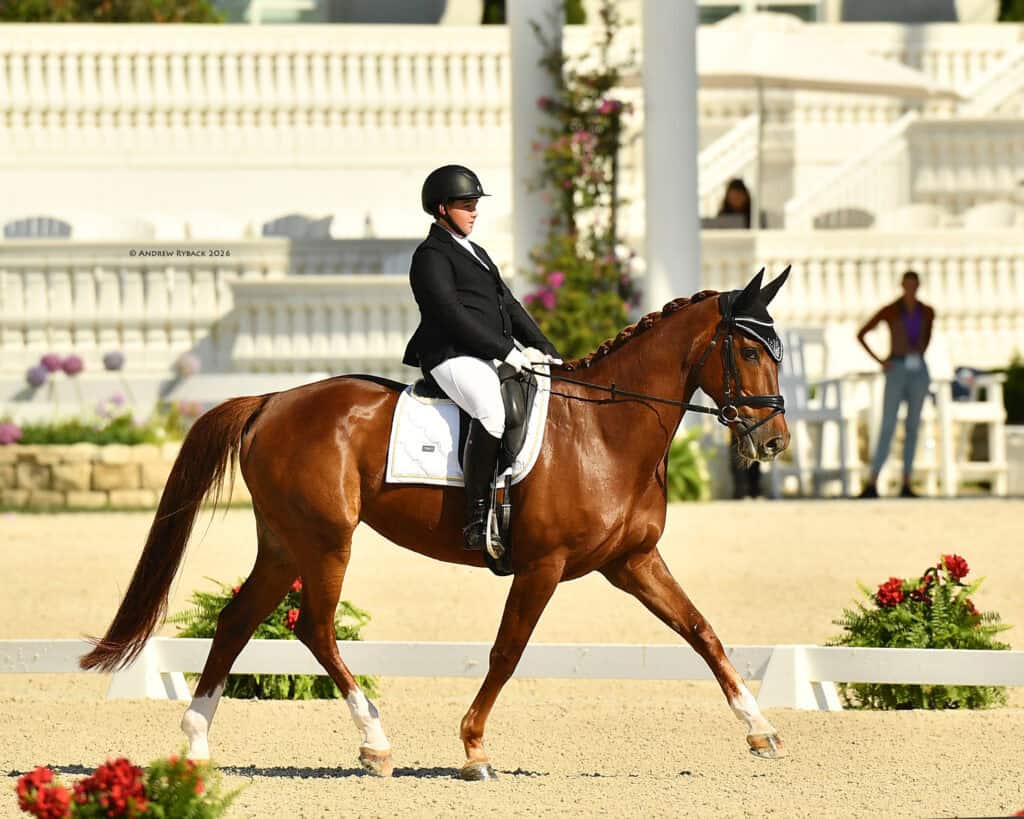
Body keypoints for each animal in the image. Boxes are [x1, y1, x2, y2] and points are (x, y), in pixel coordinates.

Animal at [81, 267, 792, 781]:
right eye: (747, 350)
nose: (774, 442)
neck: (604, 431)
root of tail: (272, 400)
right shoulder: (543, 566)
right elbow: (507, 651)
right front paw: (474, 749)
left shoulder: (632, 561)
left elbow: (703, 633)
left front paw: (760, 730)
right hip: (327, 540)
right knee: (313, 626)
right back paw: (374, 743)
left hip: (285, 543)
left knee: (237, 621)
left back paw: (197, 744)